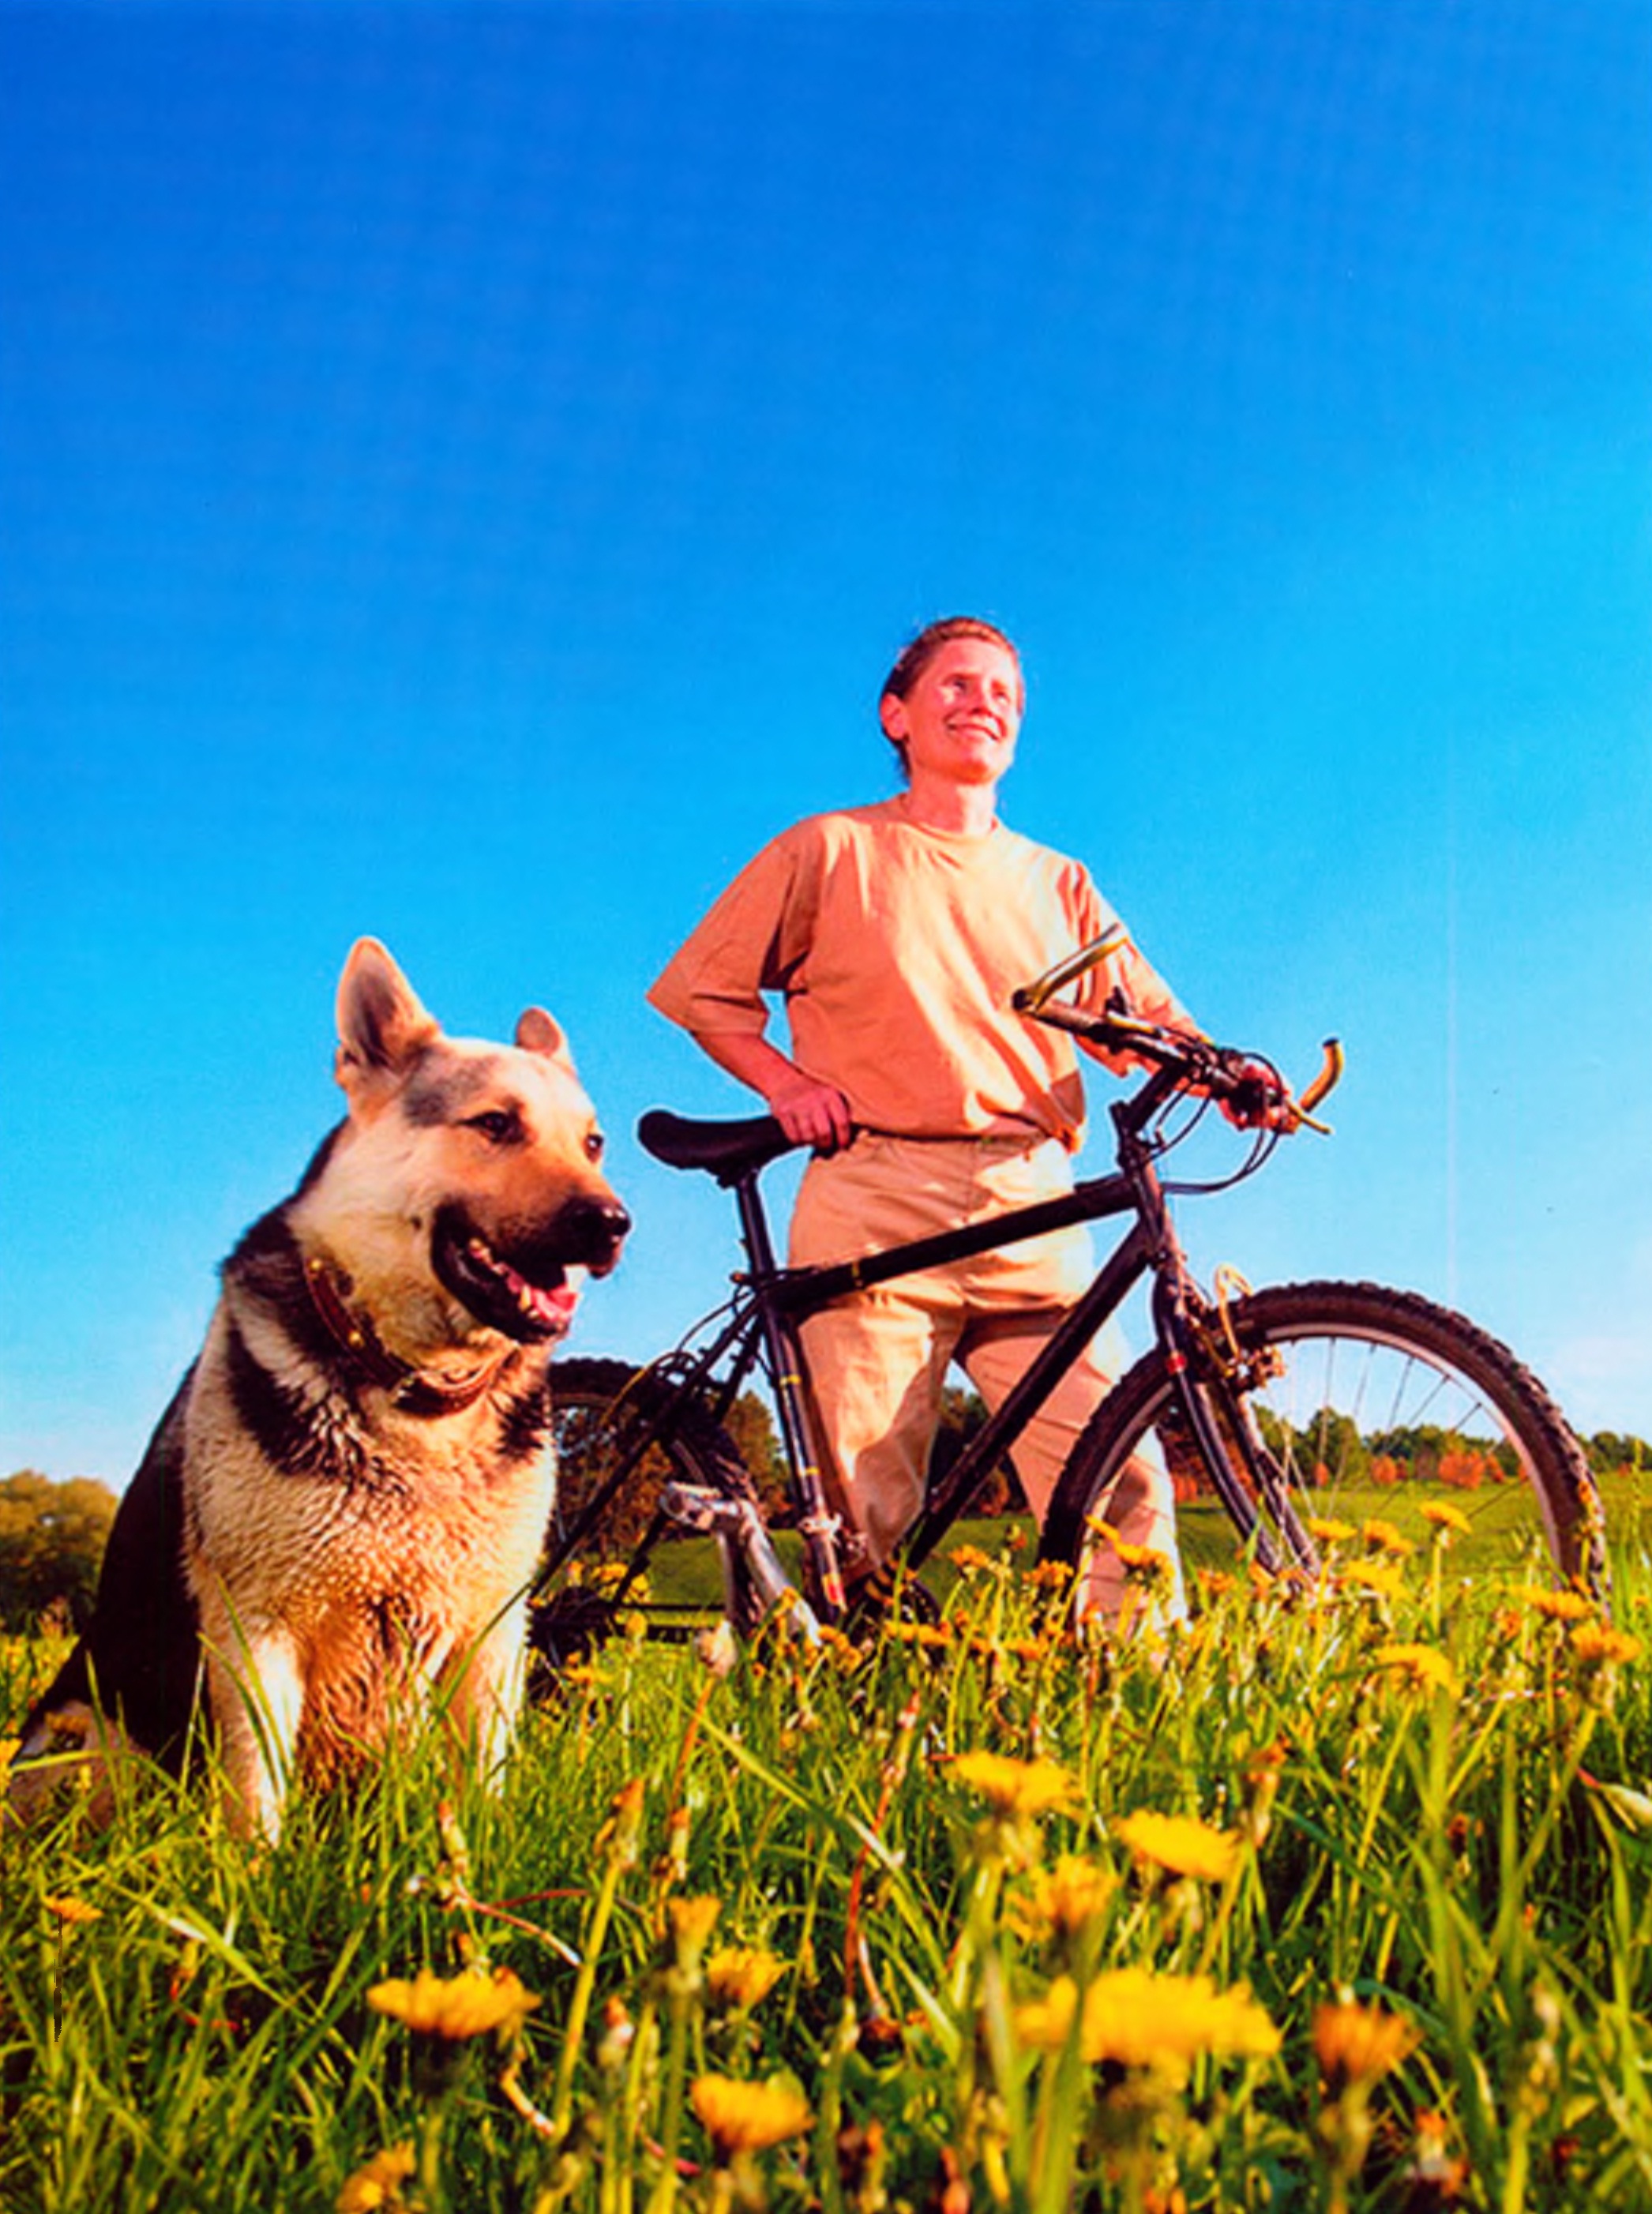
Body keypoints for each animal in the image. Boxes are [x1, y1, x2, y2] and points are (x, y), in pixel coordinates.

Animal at [9, 938, 629, 1833]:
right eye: (495, 1125)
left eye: (592, 1144)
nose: (613, 1223)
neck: (417, 1393)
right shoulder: (257, 1629)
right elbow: (257, 1794)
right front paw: (257, 1871)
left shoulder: (491, 1632)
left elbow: (483, 1781)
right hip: (87, 1740)